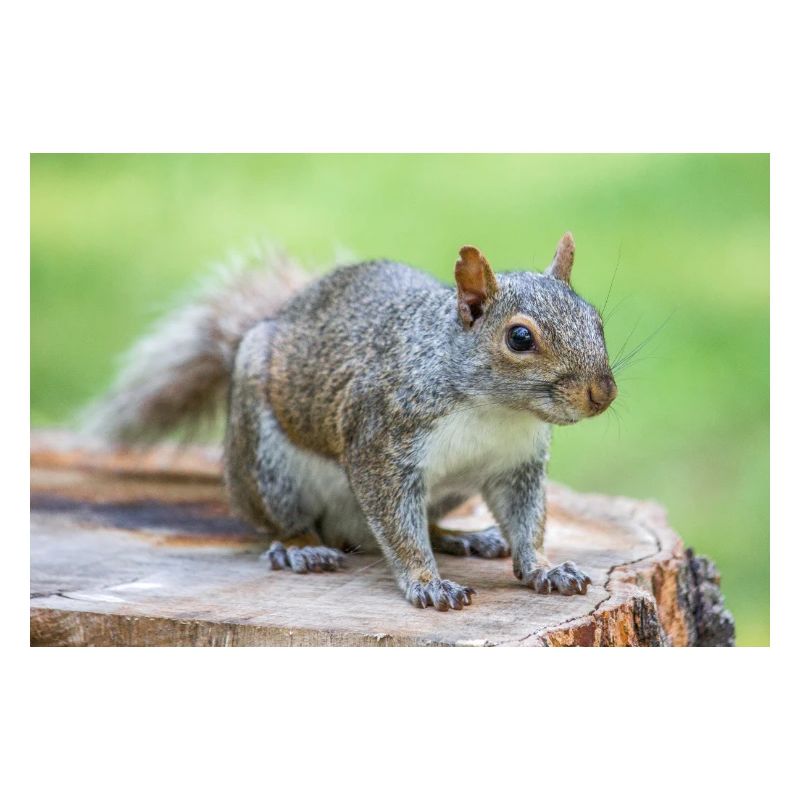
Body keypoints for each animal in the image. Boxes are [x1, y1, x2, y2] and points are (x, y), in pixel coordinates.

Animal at [90, 233, 617, 611]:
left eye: (597, 320)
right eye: (520, 338)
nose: (603, 394)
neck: (496, 411)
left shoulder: (516, 465)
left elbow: (527, 522)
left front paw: (544, 568)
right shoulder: (381, 444)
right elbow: (398, 528)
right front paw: (427, 584)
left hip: (449, 491)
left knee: (417, 522)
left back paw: (461, 537)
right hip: (266, 464)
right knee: (284, 521)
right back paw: (301, 548)